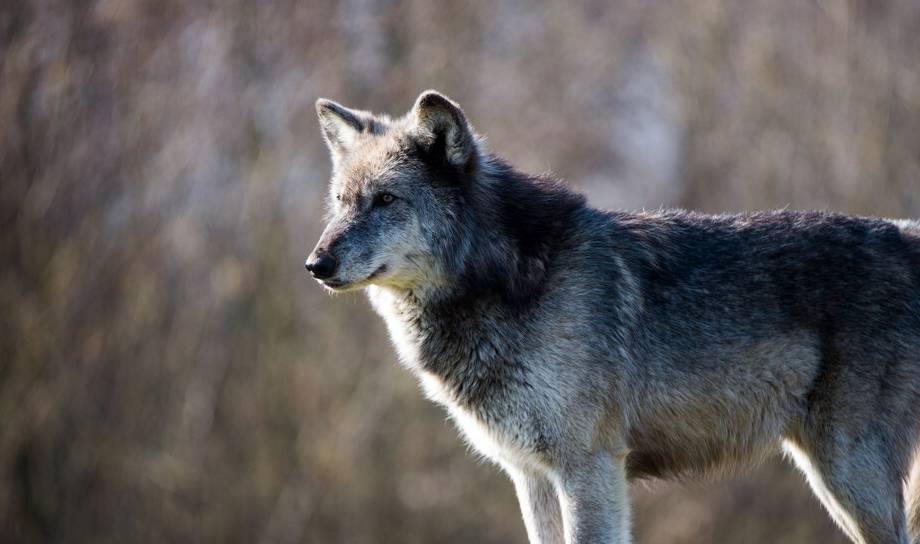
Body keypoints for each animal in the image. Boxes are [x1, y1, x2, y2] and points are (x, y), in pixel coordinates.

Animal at [308, 90, 920, 544]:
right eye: (340, 202)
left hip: (847, 472)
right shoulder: (532, 476)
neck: (509, 280)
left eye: (386, 200)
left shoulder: (589, 467)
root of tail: (908, 235)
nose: (316, 264)